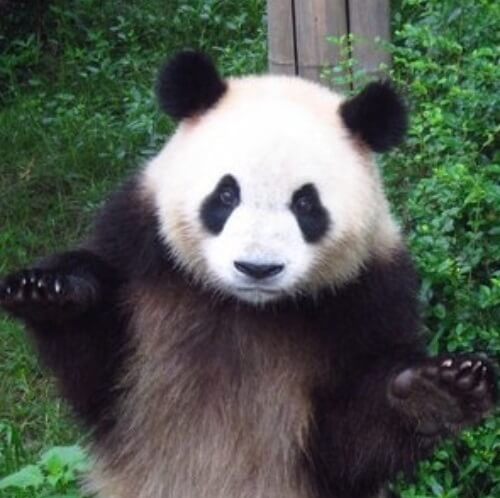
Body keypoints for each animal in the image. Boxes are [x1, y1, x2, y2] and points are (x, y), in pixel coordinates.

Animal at [0, 51, 497, 498]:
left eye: (306, 203)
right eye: (225, 194)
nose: (257, 268)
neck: (247, 308)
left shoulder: (365, 291)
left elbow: (350, 442)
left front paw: (438, 391)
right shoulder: (139, 247)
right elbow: (100, 376)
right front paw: (49, 292)